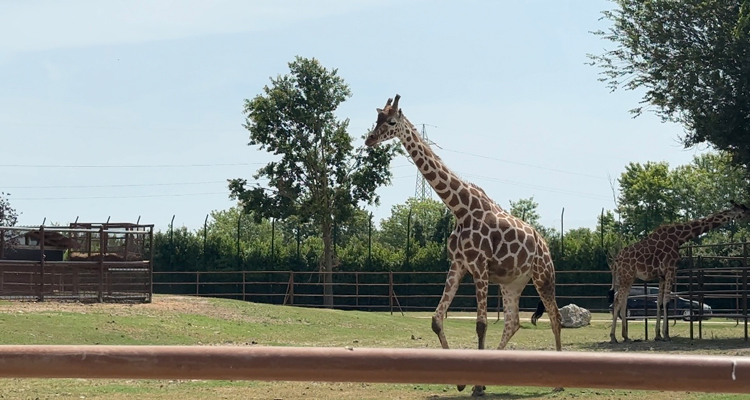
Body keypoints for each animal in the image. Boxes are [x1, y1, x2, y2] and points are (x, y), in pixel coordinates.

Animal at [364, 94, 564, 396]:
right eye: (376, 118)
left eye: (390, 121)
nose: (369, 139)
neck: (460, 208)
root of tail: (545, 244)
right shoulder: (458, 264)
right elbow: (436, 319)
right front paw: (463, 381)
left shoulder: (479, 266)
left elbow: (481, 324)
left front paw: (475, 384)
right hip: (512, 283)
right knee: (513, 322)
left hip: (543, 276)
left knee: (554, 316)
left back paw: (558, 381)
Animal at [612, 202, 750, 342]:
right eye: (743, 211)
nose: (748, 216)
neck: (679, 238)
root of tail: (617, 259)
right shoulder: (670, 270)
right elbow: (666, 300)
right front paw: (666, 335)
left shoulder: (662, 276)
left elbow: (659, 301)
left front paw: (658, 335)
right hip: (626, 275)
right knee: (618, 300)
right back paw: (613, 337)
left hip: (629, 277)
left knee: (623, 301)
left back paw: (626, 336)